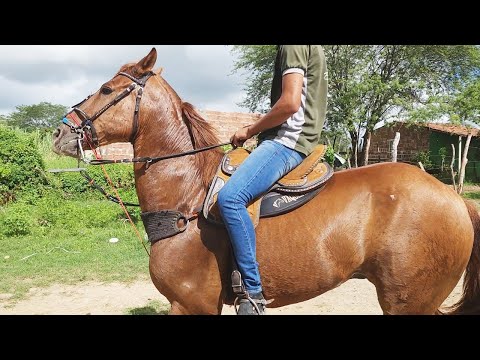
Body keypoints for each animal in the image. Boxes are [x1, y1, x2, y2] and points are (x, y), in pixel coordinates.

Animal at [52, 48, 480, 316]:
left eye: (107, 89)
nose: (60, 133)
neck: (186, 199)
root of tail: (456, 200)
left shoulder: (192, 303)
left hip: (410, 301)